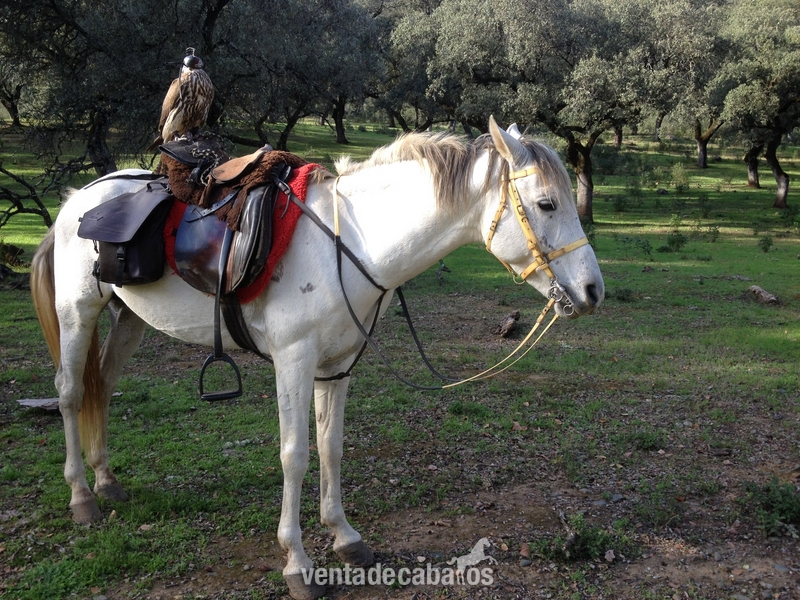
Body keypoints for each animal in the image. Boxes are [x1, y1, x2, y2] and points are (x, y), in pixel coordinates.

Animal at [30, 117, 604, 599]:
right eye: (547, 204)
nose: (593, 291)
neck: (349, 246)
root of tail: (75, 200)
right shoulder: (295, 362)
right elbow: (295, 455)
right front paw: (297, 563)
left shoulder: (337, 365)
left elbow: (331, 447)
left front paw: (345, 537)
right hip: (79, 313)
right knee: (71, 393)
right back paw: (82, 498)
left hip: (127, 318)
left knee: (102, 387)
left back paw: (107, 482)